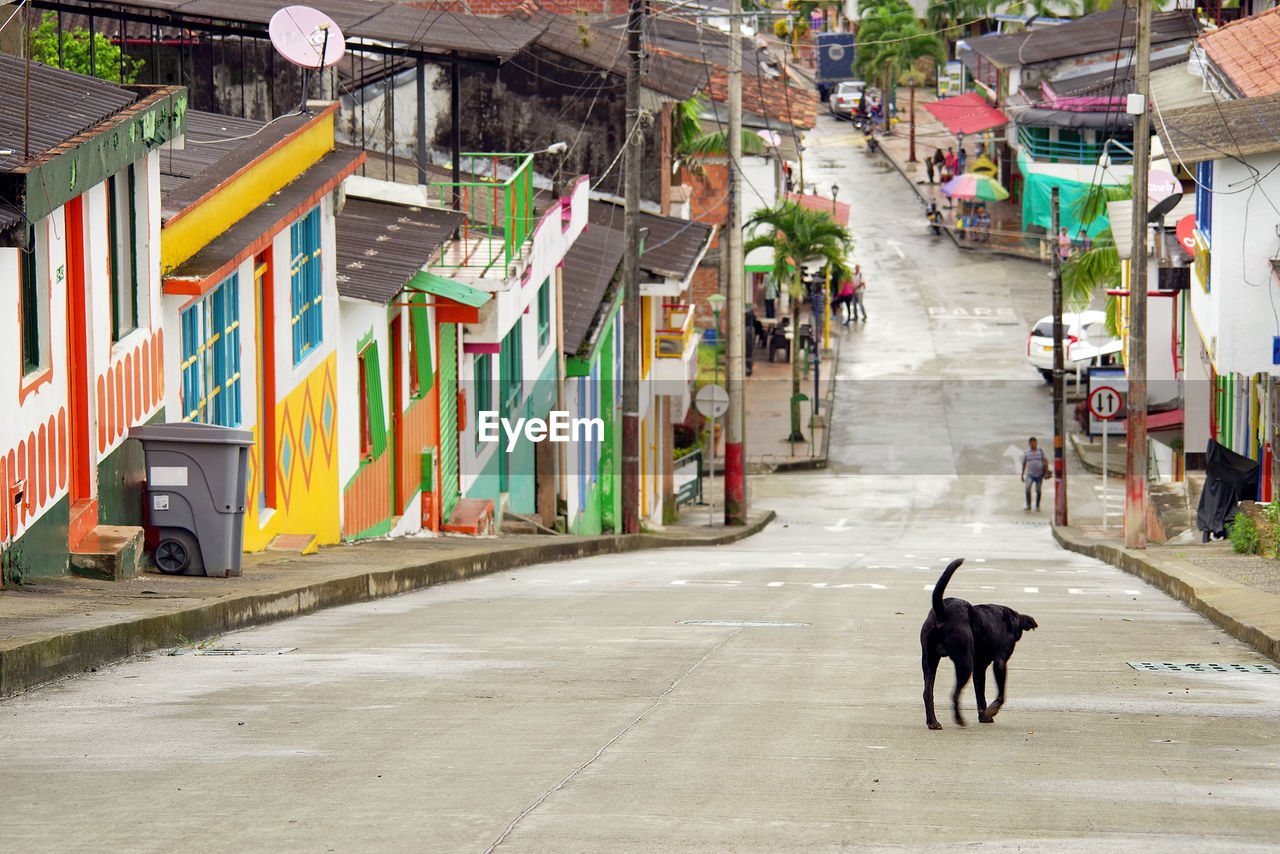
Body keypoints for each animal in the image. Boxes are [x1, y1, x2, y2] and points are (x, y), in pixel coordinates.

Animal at [916, 558, 1034, 732]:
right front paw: (992, 710)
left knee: (927, 692)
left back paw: (933, 722)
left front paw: (984, 715)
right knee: (954, 694)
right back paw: (959, 719)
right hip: (964, 662)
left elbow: (980, 694)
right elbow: (1001, 695)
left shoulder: (979, 668)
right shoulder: (999, 661)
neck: (1009, 619)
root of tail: (942, 610)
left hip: (930, 660)